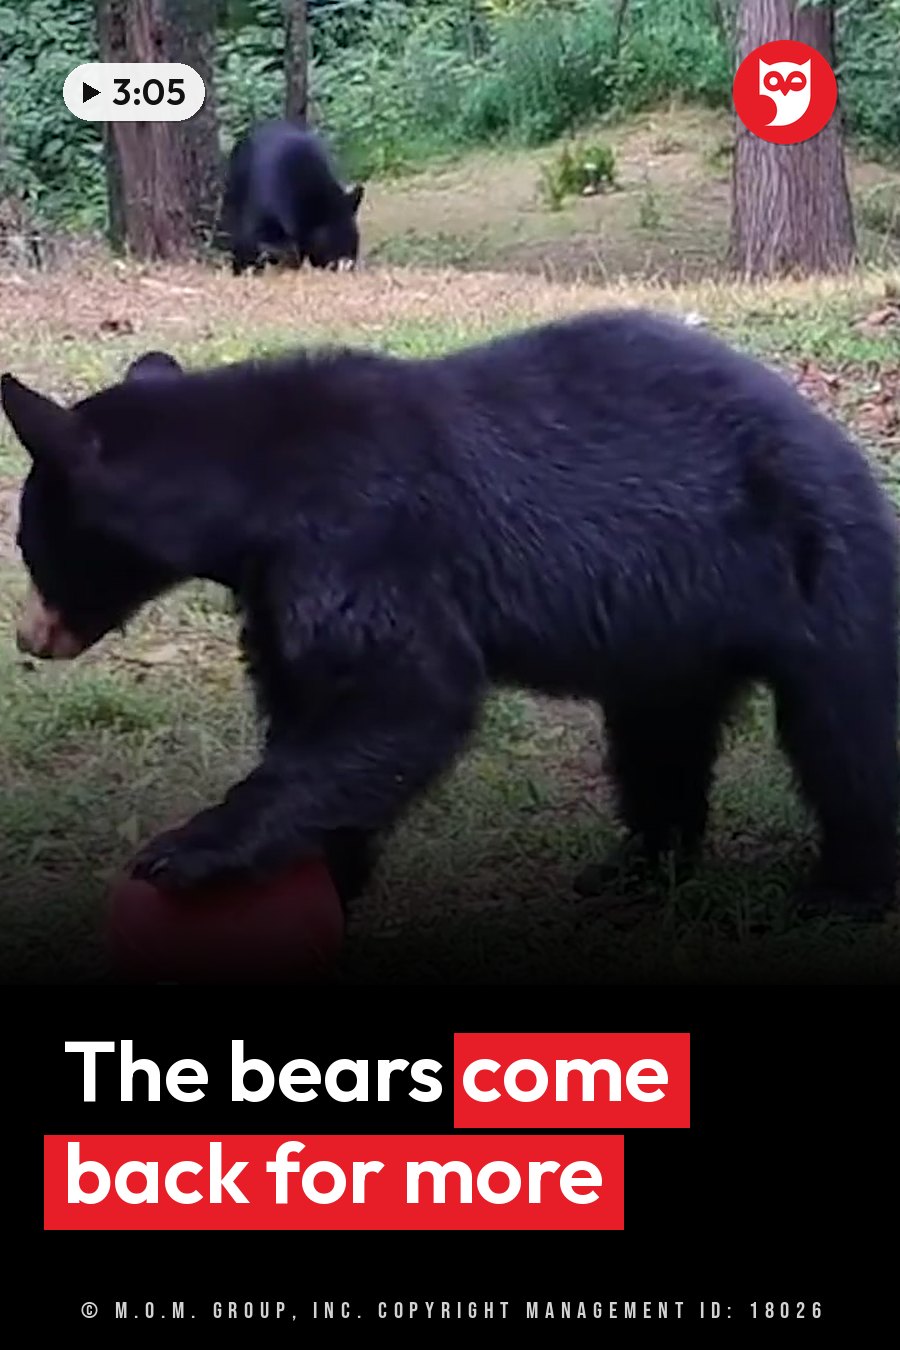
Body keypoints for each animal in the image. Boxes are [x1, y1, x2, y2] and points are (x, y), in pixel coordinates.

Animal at [1, 310, 897, 919]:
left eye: (27, 542)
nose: (28, 638)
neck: (263, 483)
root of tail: (841, 445)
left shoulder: (362, 540)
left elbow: (403, 695)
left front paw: (186, 851)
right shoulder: (277, 583)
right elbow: (312, 706)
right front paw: (328, 873)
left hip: (823, 570)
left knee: (845, 735)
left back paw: (846, 887)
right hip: (676, 637)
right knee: (660, 740)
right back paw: (636, 867)